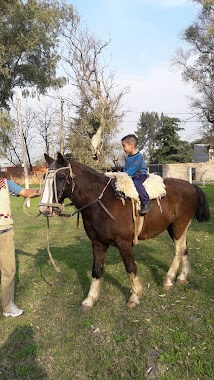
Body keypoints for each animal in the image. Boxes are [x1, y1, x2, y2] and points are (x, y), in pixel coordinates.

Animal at [39, 153, 210, 310]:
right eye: (44, 176)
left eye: (61, 177)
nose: (44, 208)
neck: (101, 202)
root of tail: (192, 187)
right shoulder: (98, 243)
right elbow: (96, 270)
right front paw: (90, 299)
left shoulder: (124, 243)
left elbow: (130, 267)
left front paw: (135, 295)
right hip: (176, 228)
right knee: (184, 249)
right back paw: (182, 276)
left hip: (178, 226)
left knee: (178, 251)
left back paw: (168, 280)